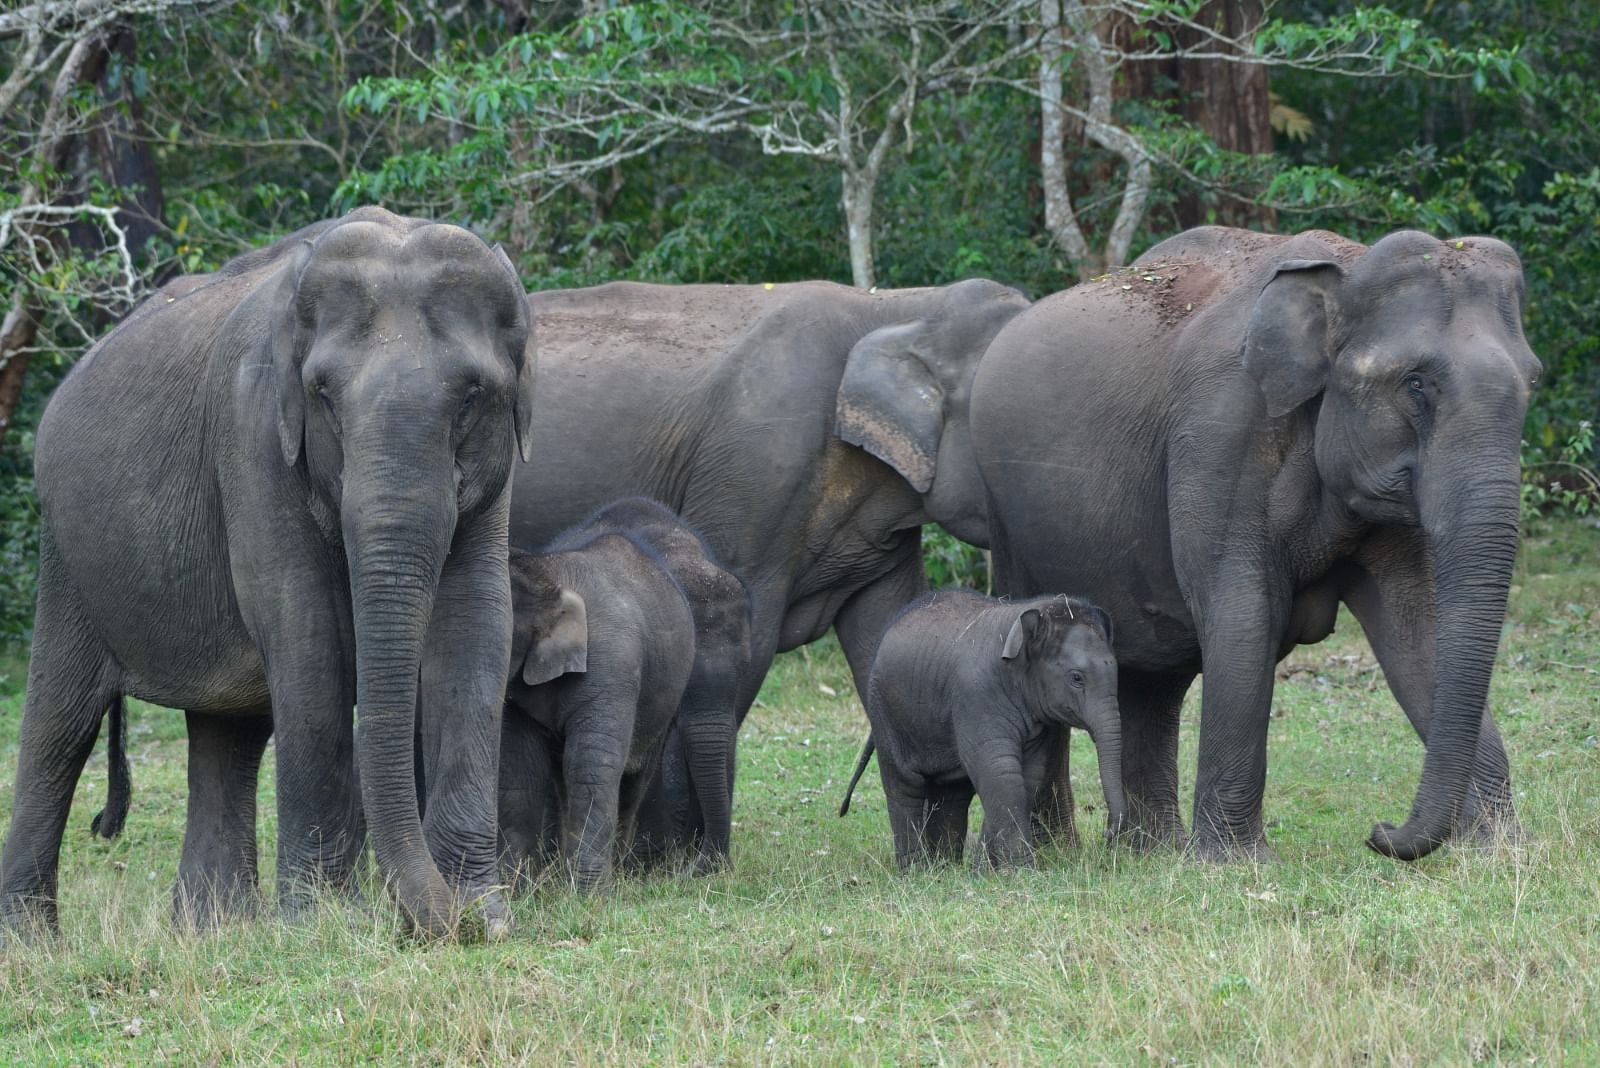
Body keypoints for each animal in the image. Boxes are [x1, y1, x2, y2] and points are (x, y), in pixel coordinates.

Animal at [0, 206, 537, 933]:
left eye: (474, 394)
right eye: (323, 395)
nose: (446, 921)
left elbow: (476, 628)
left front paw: (486, 910)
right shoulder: (253, 436)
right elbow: (307, 634)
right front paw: (323, 925)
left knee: (226, 731)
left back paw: (209, 928)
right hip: (68, 556)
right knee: (59, 725)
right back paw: (34, 937)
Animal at [499, 502, 748, 895]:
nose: (701, 871)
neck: (548, 574)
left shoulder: (613, 663)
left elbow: (592, 764)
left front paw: (588, 896)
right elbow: (519, 770)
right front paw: (513, 891)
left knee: (630, 777)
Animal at [512, 279, 1036, 856]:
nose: (843, 809)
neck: (899, 307)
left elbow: (887, 633)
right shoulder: (756, 476)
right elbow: (751, 644)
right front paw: (676, 856)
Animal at [838, 588, 1126, 869]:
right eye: (1076, 678)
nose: (1108, 833)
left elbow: (1029, 776)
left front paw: (986, 869)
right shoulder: (977, 697)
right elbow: (1001, 773)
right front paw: (1020, 872)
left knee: (952, 792)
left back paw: (946, 867)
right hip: (887, 714)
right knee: (904, 787)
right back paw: (917, 870)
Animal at [966, 230, 1542, 863]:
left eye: (1532, 383)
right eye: (1415, 383)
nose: (1379, 831)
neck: (1345, 268)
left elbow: (1416, 627)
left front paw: (1500, 850)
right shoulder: (1218, 437)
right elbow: (1243, 614)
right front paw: (1234, 864)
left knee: (1152, 677)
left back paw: (1150, 851)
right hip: (1008, 517)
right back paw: (1059, 850)